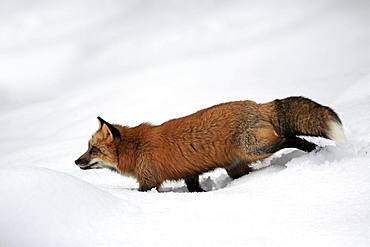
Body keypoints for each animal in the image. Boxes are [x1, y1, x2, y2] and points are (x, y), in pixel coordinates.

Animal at [74, 96, 344, 191]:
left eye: (93, 150)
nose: (76, 161)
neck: (136, 147)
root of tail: (257, 105)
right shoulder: (189, 174)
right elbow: (195, 188)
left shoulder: (149, 181)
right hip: (237, 166)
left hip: (255, 149)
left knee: (291, 139)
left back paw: (315, 151)